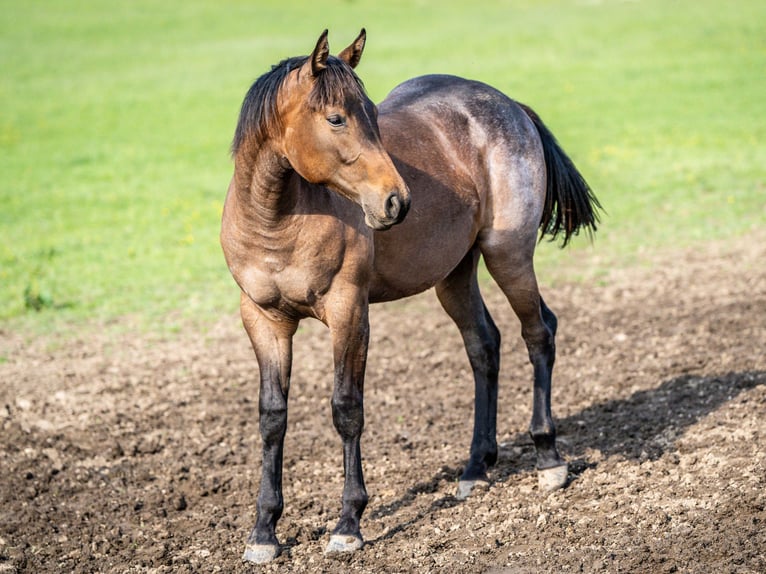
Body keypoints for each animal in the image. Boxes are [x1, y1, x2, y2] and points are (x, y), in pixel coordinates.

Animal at [219, 29, 604, 564]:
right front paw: (263, 531)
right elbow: (273, 416)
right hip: (454, 275)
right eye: (336, 118)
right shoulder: (263, 319)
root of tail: (510, 106)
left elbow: (346, 408)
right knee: (484, 346)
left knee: (538, 333)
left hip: (507, 256)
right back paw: (474, 469)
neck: (277, 220)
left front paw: (348, 524)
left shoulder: (349, 312)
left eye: (373, 113)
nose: (396, 201)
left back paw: (548, 457)